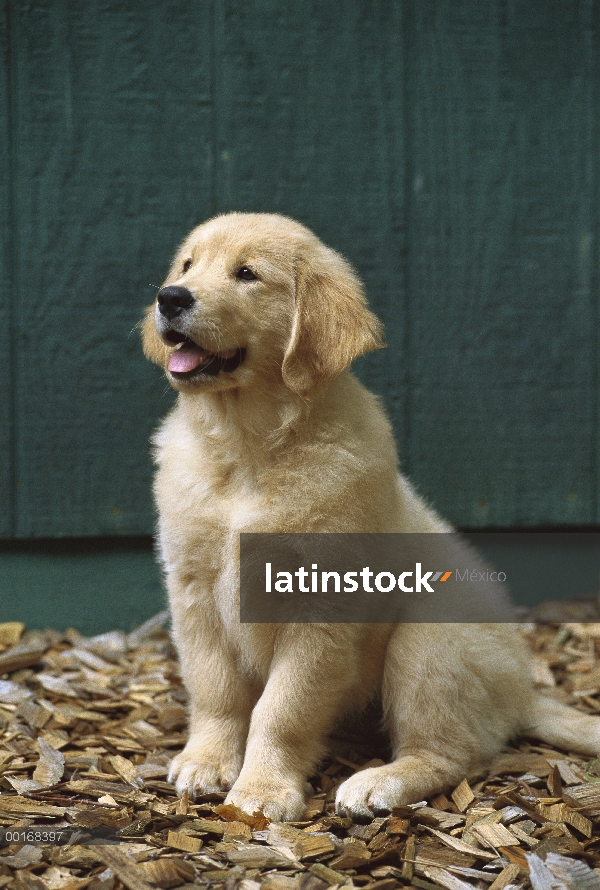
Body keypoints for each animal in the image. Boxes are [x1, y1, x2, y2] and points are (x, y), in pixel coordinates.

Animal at [142, 213, 600, 820]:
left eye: (247, 274)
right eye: (188, 265)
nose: (170, 297)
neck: (249, 449)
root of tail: (522, 693)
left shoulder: (319, 605)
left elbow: (281, 709)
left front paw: (262, 791)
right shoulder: (193, 589)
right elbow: (216, 689)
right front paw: (207, 761)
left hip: (431, 639)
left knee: (451, 754)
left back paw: (378, 782)